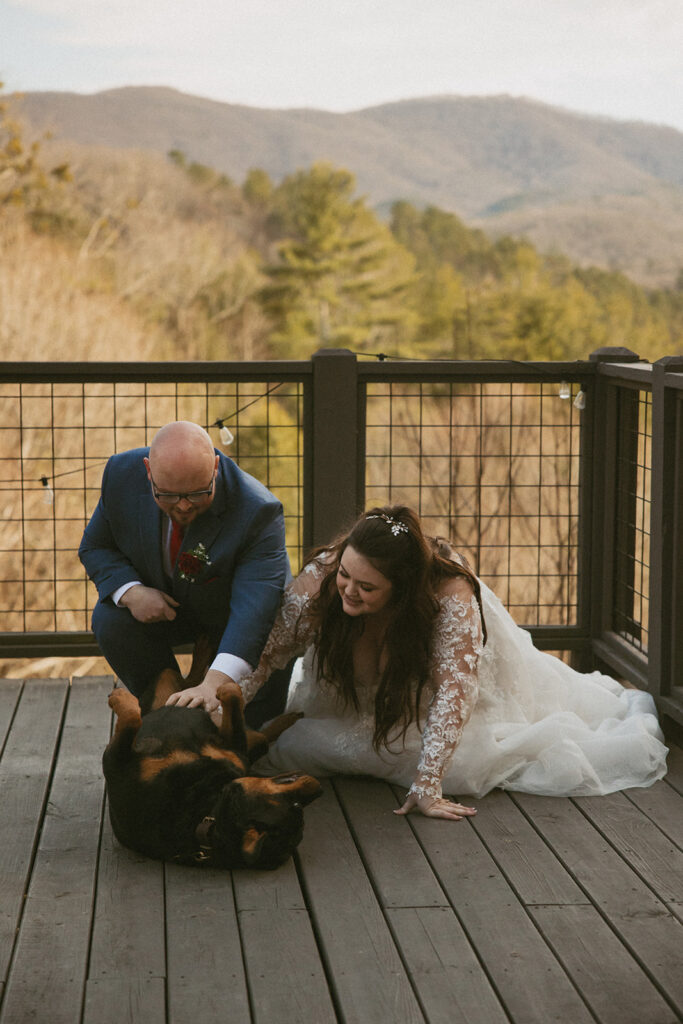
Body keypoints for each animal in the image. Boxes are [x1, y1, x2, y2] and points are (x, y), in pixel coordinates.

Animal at [102, 643, 321, 868]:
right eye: (297, 805)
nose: (318, 788)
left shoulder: (114, 761)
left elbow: (131, 718)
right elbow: (232, 694)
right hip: (168, 684)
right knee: (186, 682)